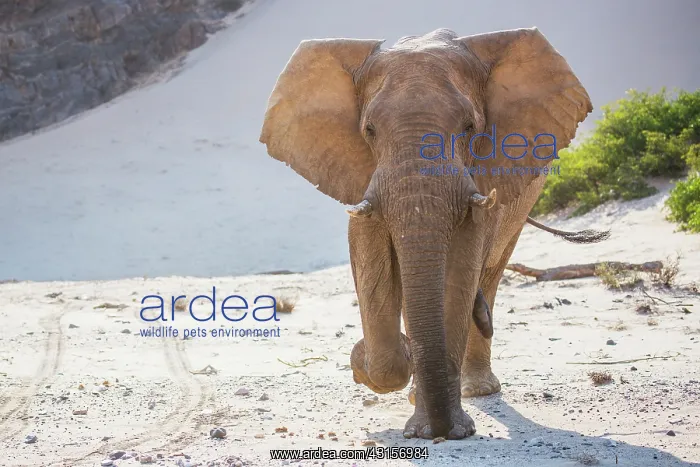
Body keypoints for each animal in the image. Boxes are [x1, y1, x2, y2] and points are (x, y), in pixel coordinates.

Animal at [259, 28, 609, 440]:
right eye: (369, 131)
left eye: (470, 128)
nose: (443, 429)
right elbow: (371, 260)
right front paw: (374, 365)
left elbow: (457, 274)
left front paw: (444, 428)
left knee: (490, 273)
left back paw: (475, 389)